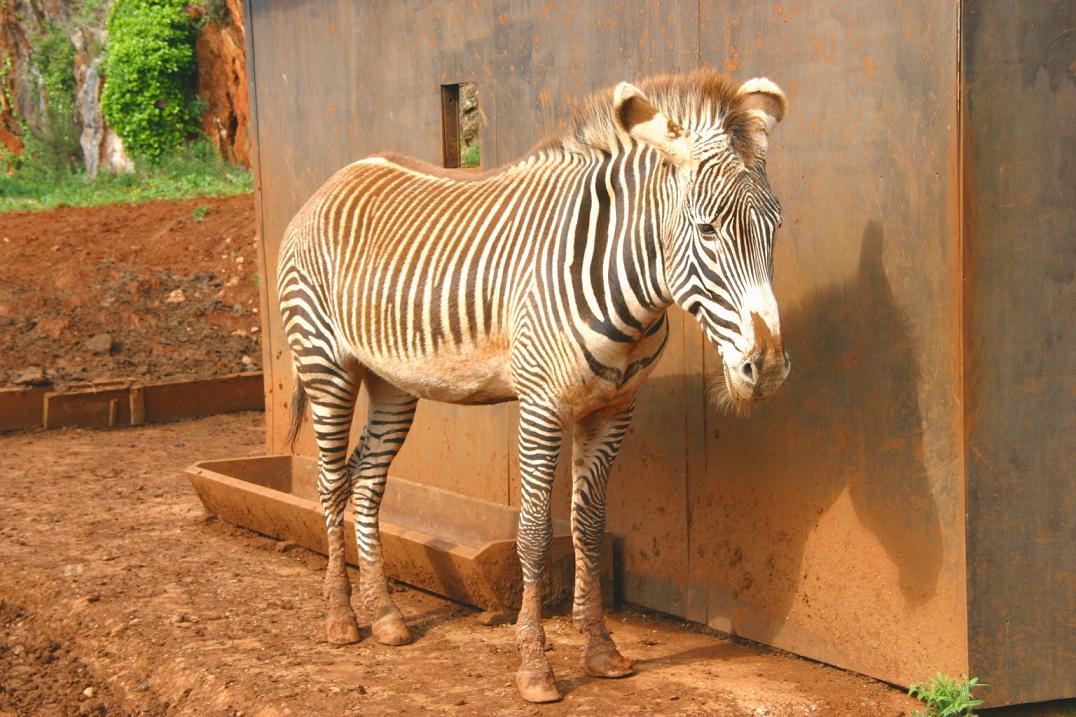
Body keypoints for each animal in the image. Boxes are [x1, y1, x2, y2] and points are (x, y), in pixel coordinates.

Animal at [273, 69, 787, 701]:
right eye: (707, 230)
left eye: (775, 228)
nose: (767, 367)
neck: (628, 288)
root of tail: (338, 176)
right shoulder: (541, 407)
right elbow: (537, 533)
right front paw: (535, 667)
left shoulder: (614, 409)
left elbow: (589, 528)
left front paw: (601, 650)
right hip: (327, 367)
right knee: (330, 485)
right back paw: (342, 618)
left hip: (393, 382)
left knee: (366, 481)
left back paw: (387, 616)